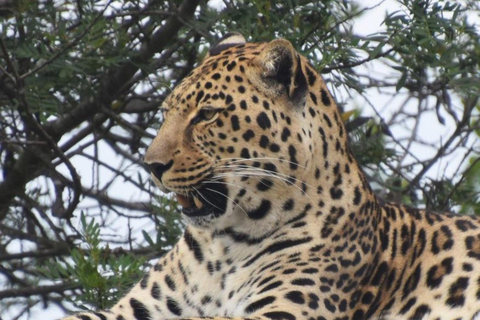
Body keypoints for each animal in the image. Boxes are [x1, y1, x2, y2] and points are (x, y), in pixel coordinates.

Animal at [60, 34, 480, 320]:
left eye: (207, 115)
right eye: (165, 113)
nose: (152, 165)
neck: (222, 249)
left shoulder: (280, 313)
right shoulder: (137, 310)